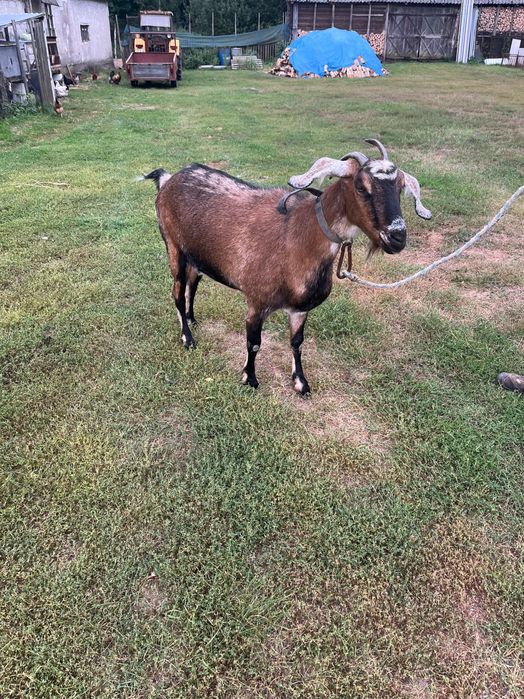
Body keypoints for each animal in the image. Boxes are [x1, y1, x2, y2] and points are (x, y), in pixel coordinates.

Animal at [143, 139, 432, 395]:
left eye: (401, 187)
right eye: (361, 186)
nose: (397, 237)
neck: (297, 237)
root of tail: (168, 179)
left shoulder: (300, 309)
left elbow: (297, 343)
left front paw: (301, 383)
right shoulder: (256, 302)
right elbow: (254, 343)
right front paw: (250, 379)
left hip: (196, 256)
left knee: (192, 285)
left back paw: (191, 319)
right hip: (173, 246)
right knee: (177, 293)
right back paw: (187, 338)